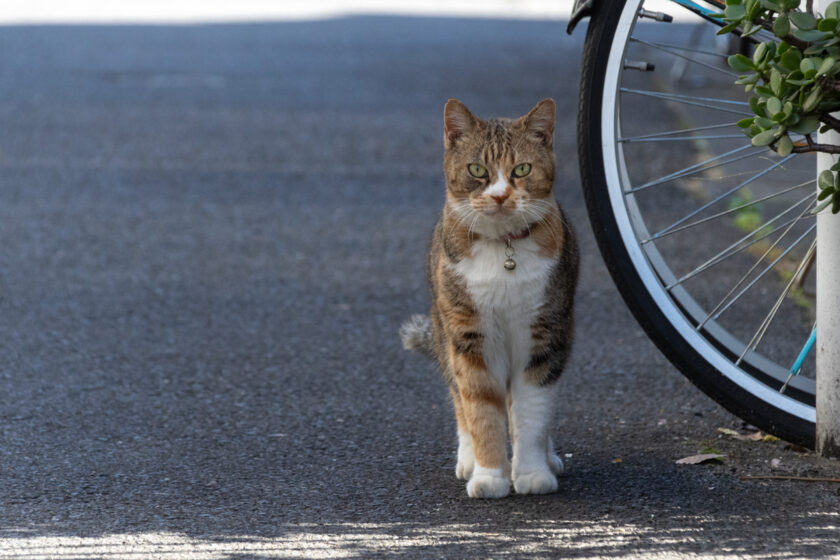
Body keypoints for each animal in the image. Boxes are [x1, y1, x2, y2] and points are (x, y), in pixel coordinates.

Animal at [400, 97, 576, 498]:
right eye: (477, 169)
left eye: (522, 169)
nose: (499, 195)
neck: (503, 248)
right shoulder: (470, 336)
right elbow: (480, 408)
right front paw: (490, 476)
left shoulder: (544, 335)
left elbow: (531, 410)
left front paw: (532, 472)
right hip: (443, 330)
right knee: (459, 398)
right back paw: (468, 459)